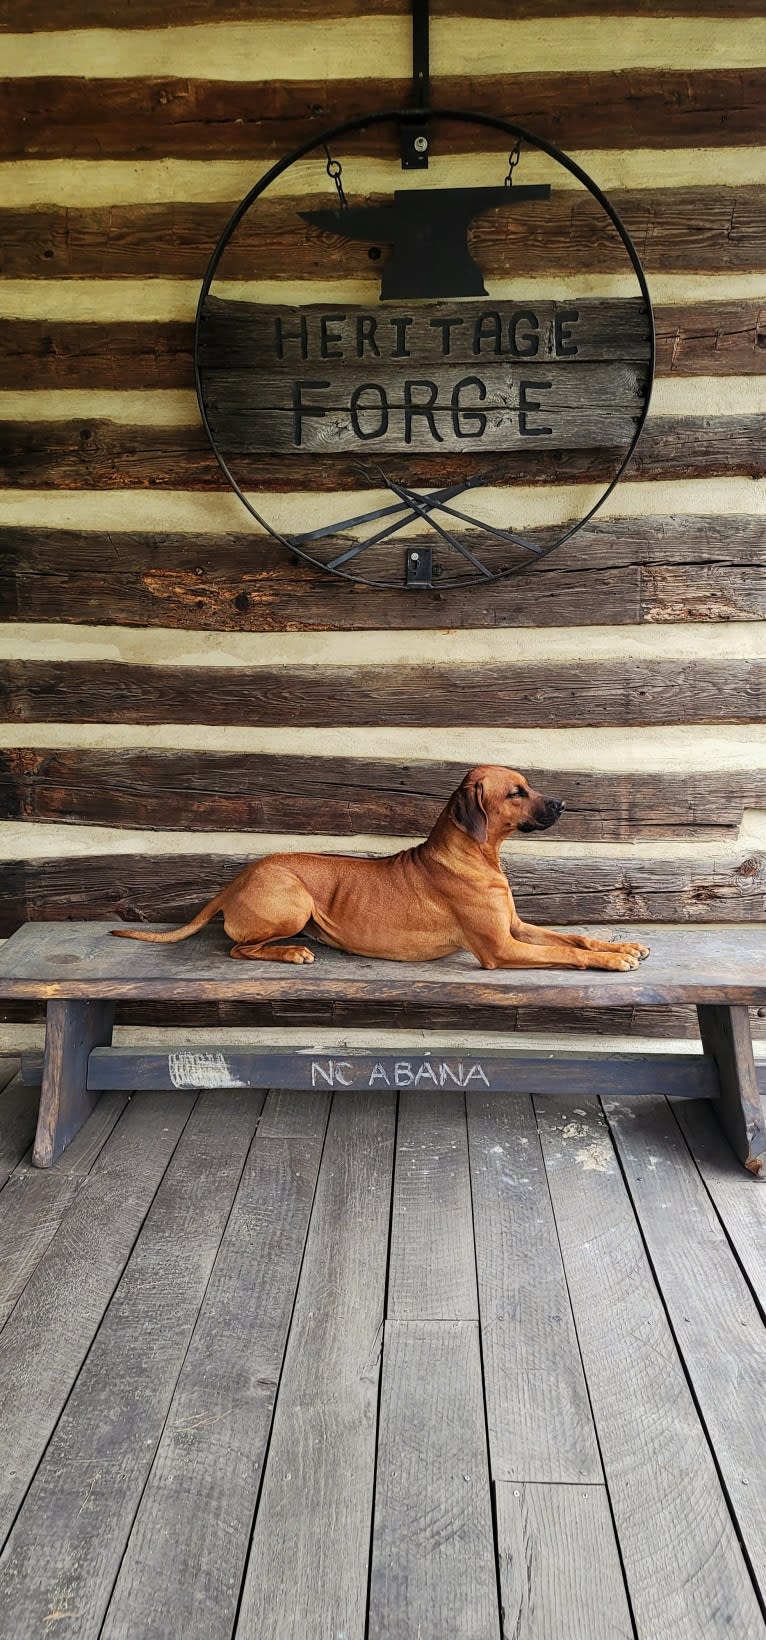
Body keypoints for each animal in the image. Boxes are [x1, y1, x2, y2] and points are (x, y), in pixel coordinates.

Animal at [112, 767, 652, 970]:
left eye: (529, 784)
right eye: (516, 792)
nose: (562, 804)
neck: (476, 854)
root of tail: (234, 883)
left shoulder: (516, 927)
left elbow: (574, 937)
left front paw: (623, 945)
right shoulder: (500, 948)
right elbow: (567, 952)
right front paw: (611, 961)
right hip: (293, 899)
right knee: (239, 949)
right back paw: (291, 952)